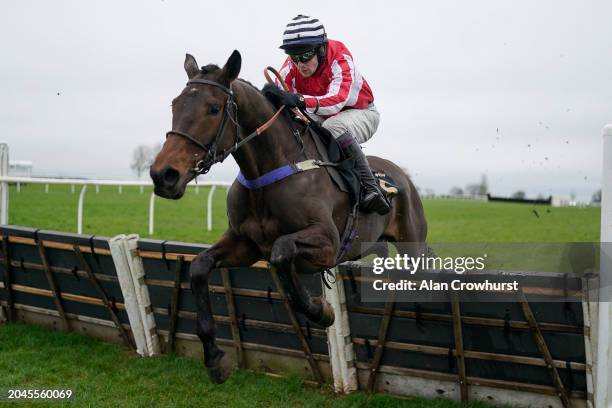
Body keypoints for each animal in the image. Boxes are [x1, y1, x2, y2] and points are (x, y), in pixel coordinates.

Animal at [149, 50, 426, 382]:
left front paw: (322, 310)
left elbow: (282, 252)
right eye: (175, 104)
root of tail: (402, 176)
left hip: (413, 242)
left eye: (213, 108)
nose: (163, 175)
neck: (268, 171)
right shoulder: (245, 244)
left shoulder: (328, 243)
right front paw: (215, 357)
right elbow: (201, 266)